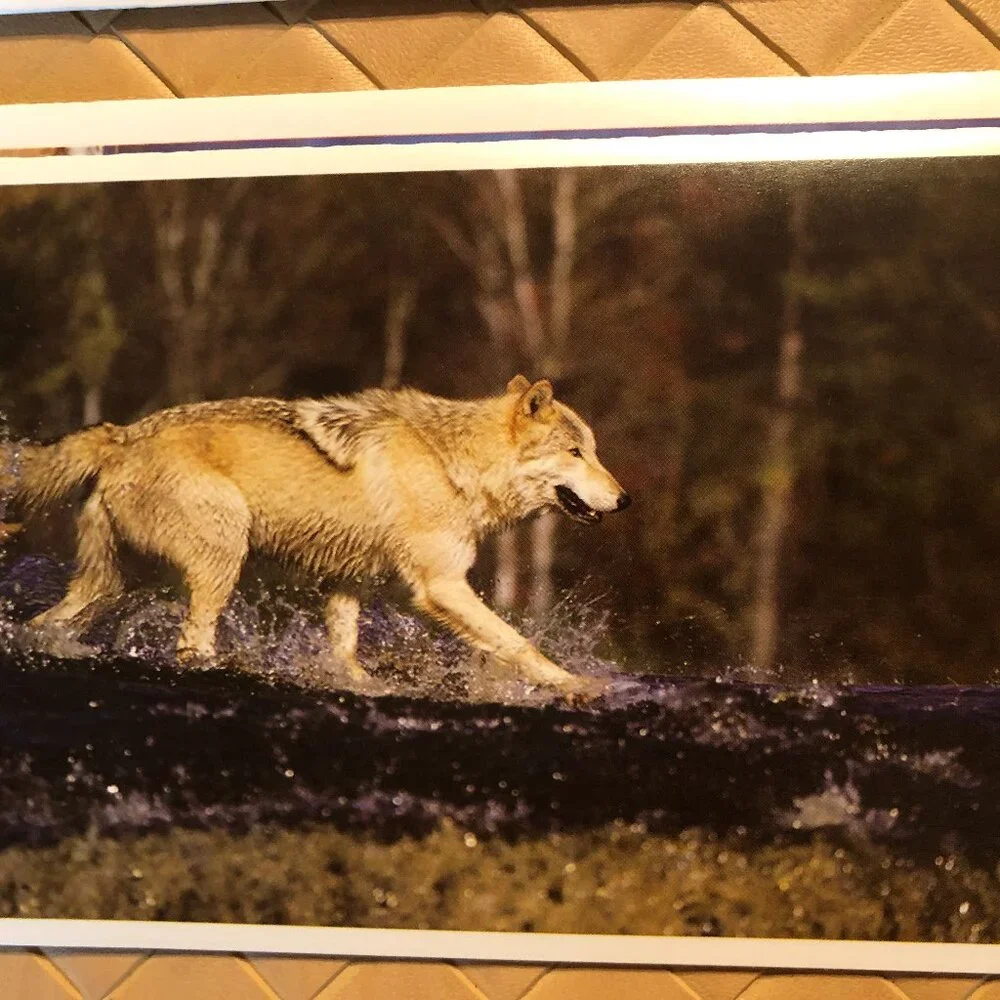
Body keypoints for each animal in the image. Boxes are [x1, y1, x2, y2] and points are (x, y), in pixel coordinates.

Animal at [1, 376, 629, 696]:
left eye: (595, 451)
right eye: (576, 453)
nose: (624, 499)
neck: (454, 462)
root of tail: (120, 435)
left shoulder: (347, 584)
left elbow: (345, 652)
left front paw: (364, 685)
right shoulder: (442, 587)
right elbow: (518, 643)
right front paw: (578, 685)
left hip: (112, 585)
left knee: (47, 625)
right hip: (222, 556)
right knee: (192, 645)